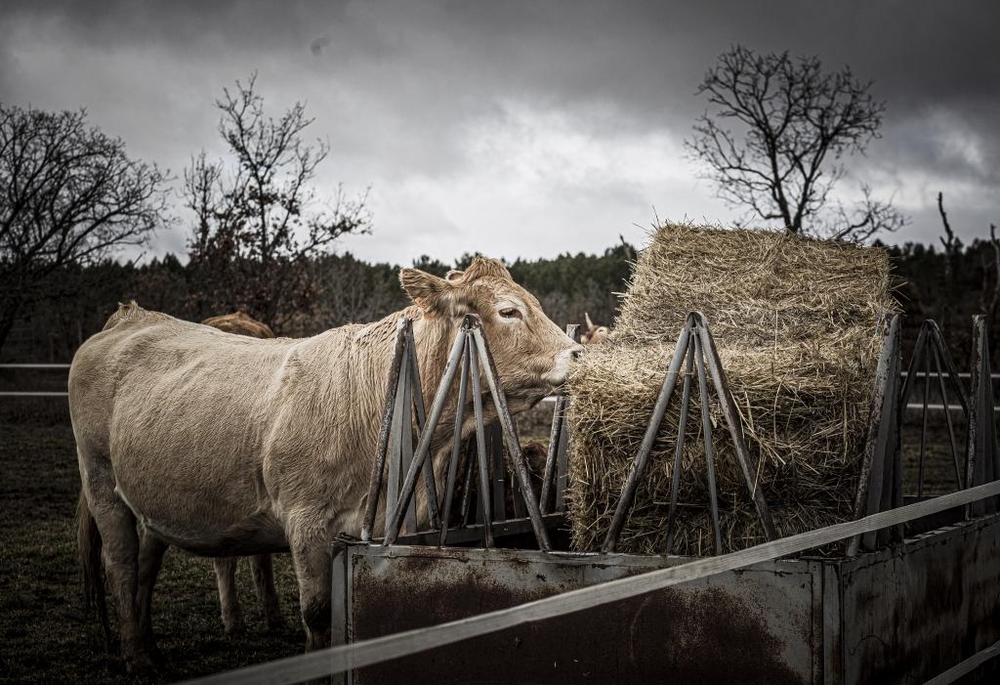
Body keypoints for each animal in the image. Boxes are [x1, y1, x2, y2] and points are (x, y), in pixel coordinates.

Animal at [72, 254, 580, 672]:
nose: (579, 354)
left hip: (150, 499)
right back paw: (137, 658)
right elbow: (318, 614)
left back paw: (151, 648)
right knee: (121, 562)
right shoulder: (306, 520)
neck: (369, 401)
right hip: (100, 481)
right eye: (509, 311)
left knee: (146, 565)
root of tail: (129, 317)